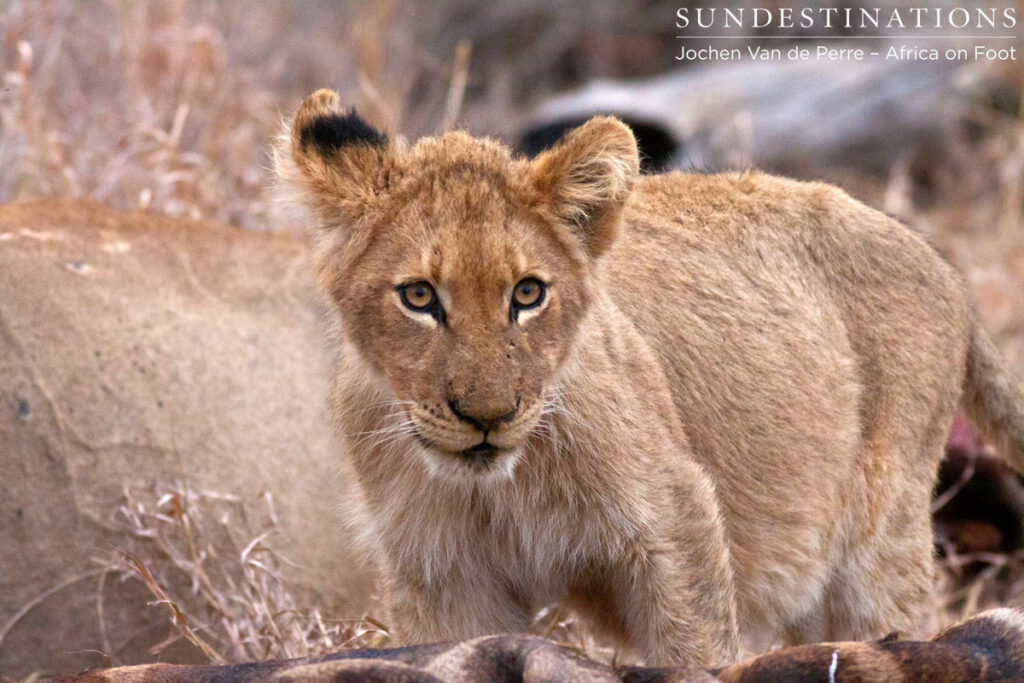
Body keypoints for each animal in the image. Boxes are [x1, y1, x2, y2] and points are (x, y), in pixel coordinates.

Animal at [275, 88, 1024, 668]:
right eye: (420, 297)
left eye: (527, 293)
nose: (487, 416)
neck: (500, 488)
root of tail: (940, 263)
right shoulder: (444, 577)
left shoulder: (676, 519)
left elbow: (695, 650)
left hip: (879, 542)